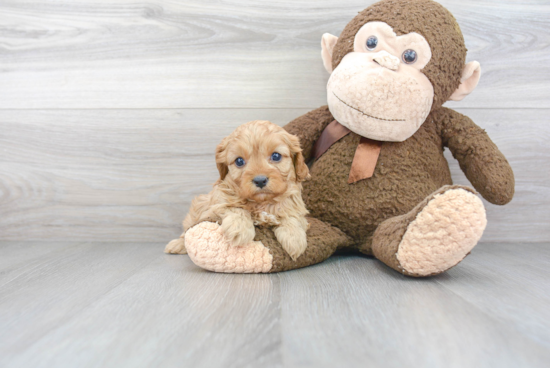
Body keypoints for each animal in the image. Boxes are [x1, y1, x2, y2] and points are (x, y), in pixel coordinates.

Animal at [164, 119, 312, 260]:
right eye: (239, 161)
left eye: (276, 156)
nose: (260, 180)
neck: (261, 203)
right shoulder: (214, 206)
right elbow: (234, 207)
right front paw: (239, 229)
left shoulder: (295, 206)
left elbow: (291, 216)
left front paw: (294, 239)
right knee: (186, 231)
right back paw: (177, 245)